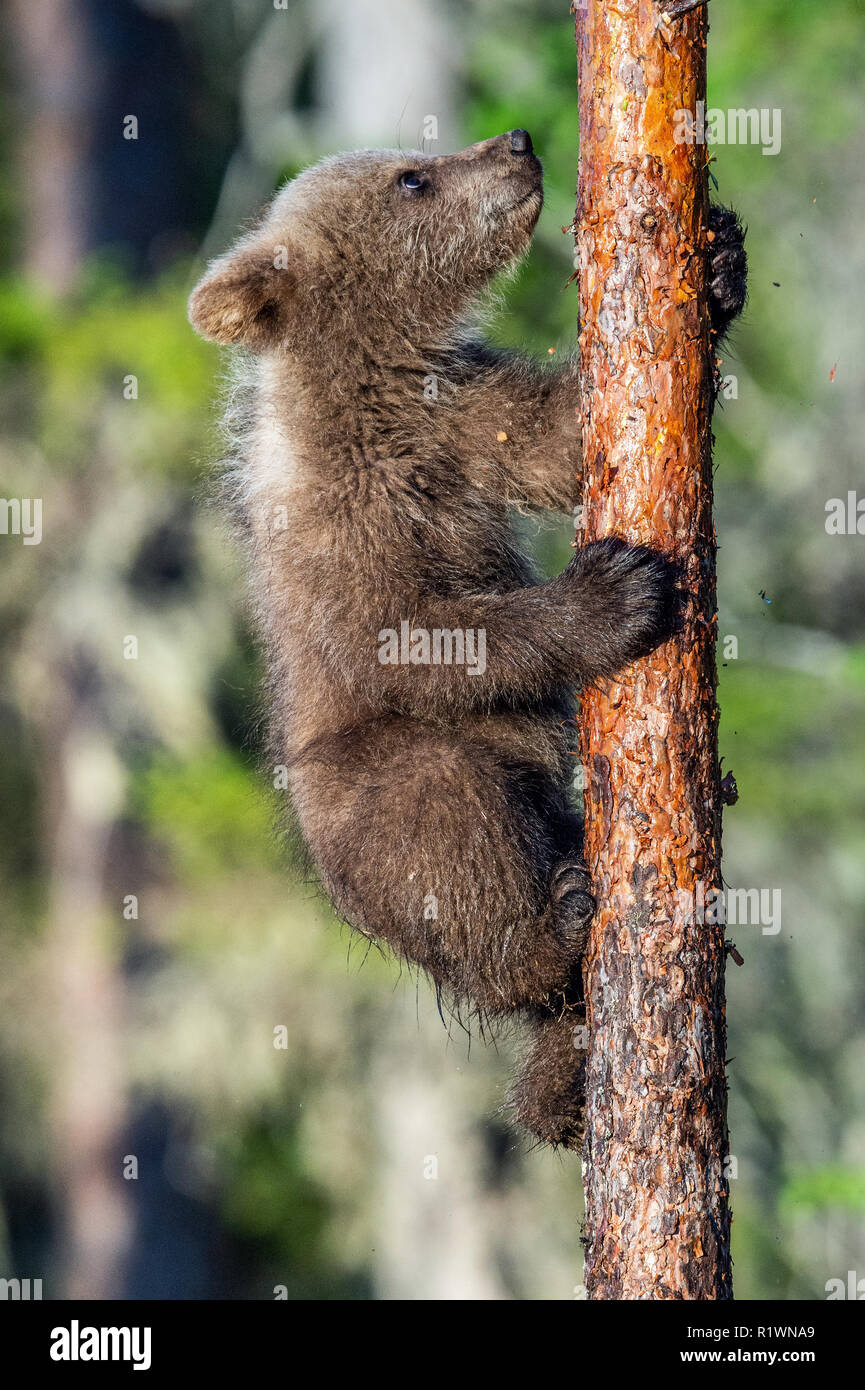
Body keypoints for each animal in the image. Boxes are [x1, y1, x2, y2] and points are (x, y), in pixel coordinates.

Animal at [188, 129, 746, 1150]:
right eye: (410, 178)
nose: (516, 141)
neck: (382, 391)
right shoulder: (345, 528)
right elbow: (420, 640)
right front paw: (617, 588)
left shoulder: (462, 416)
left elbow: (559, 435)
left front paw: (719, 261)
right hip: (374, 806)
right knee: (451, 822)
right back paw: (555, 927)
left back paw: (560, 1082)